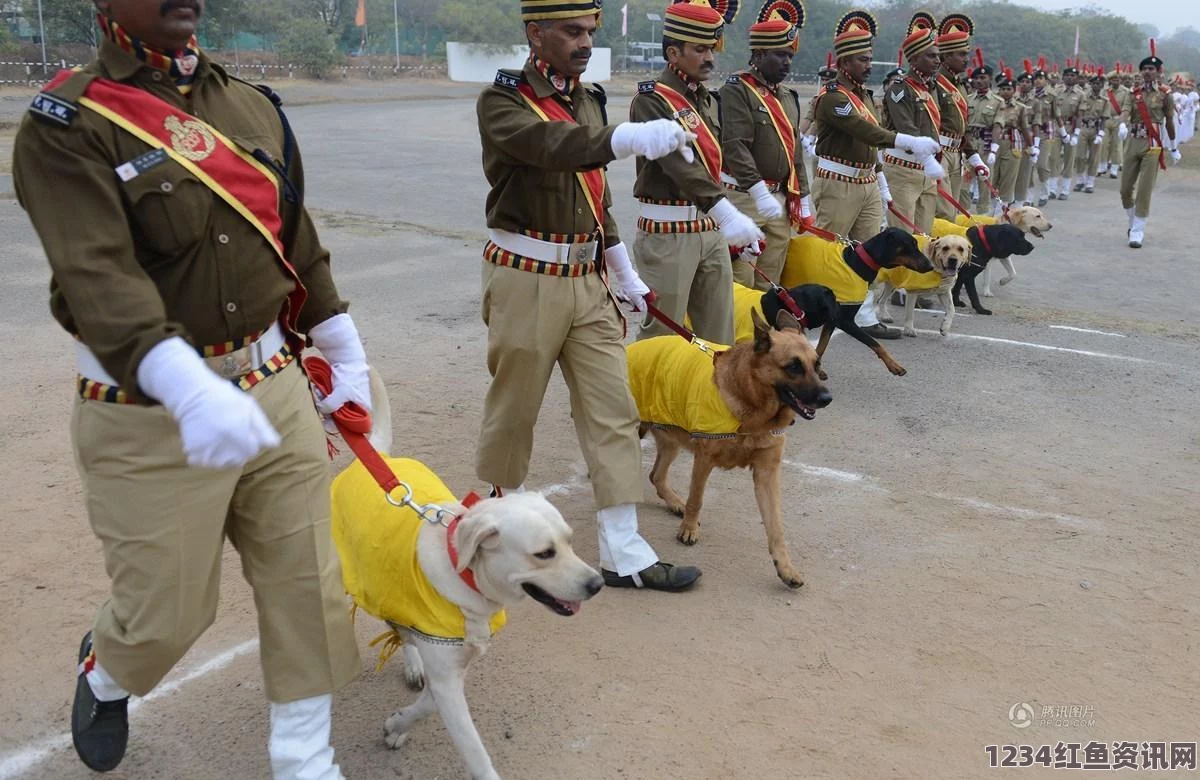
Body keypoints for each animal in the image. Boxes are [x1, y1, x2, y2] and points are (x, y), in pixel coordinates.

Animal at [333, 369, 600, 777]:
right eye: (544, 554)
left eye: (570, 541)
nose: (598, 583)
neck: (468, 581)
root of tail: (379, 455)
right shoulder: (447, 673)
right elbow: (473, 749)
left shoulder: (455, 663)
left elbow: (428, 703)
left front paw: (397, 724)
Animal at [643, 307, 830, 585]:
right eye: (794, 367)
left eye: (817, 365)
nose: (827, 398)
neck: (753, 409)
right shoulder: (704, 460)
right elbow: (696, 499)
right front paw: (688, 528)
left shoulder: (766, 474)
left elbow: (776, 526)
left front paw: (785, 567)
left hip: (671, 440)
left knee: (656, 475)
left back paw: (674, 502)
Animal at [763, 224, 931, 376]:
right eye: (909, 245)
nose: (930, 265)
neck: (857, 264)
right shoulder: (844, 320)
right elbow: (875, 344)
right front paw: (894, 366)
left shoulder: (831, 319)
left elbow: (822, 346)